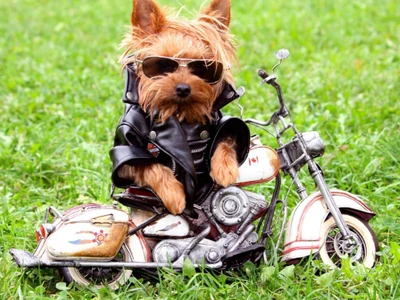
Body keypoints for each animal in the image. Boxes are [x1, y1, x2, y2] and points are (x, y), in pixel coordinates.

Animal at [108, 0, 248, 217]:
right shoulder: (125, 154)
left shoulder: (220, 122)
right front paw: (173, 194)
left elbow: (227, 138)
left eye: (203, 68)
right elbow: (152, 165)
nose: (183, 88)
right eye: (162, 65)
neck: (179, 112)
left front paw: (225, 169)